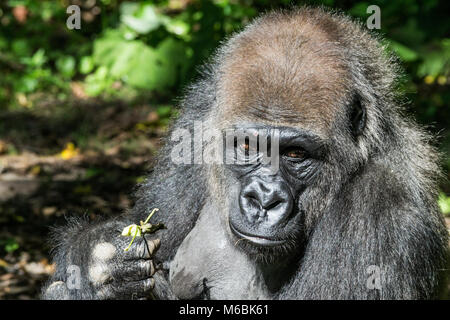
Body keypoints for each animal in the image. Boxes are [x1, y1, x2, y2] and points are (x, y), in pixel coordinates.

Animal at [41, 7, 446, 300]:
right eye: (248, 146)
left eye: (296, 154)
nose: (264, 200)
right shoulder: (197, 121)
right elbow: (147, 220)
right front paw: (95, 261)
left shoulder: (384, 208)